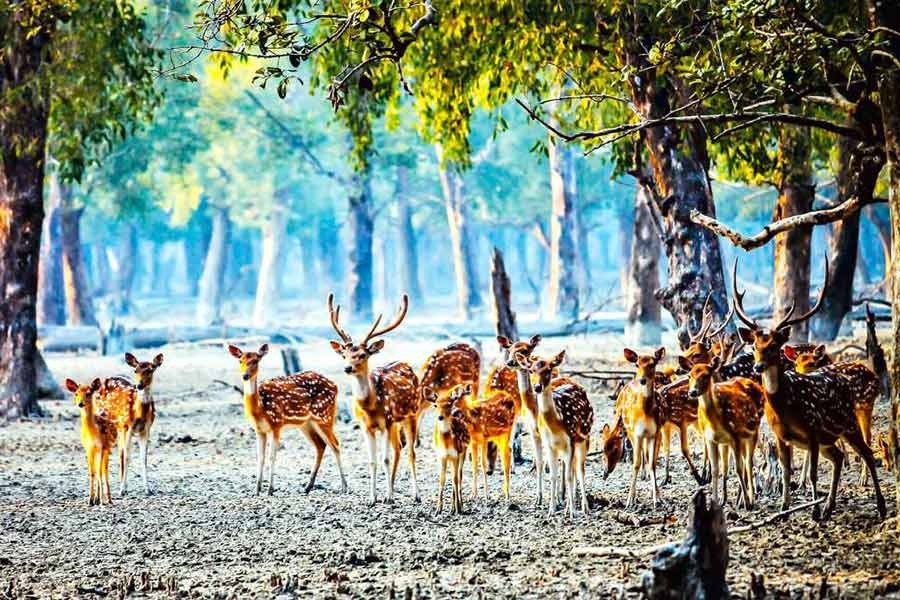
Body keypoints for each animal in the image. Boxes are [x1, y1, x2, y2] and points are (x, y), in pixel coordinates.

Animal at [227, 344, 346, 494]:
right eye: (240, 361)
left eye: (256, 360)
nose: (245, 376)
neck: (260, 409)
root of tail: (336, 386)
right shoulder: (259, 430)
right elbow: (260, 458)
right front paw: (257, 490)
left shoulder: (277, 424)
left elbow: (272, 456)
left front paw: (270, 490)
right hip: (306, 424)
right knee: (320, 445)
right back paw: (308, 487)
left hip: (324, 415)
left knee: (335, 445)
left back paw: (344, 487)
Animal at [326, 292, 422, 504]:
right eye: (344, 355)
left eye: (363, 354)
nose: (347, 368)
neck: (370, 406)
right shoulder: (365, 426)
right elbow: (372, 460)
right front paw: (373, 498)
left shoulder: (386, 421)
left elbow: (384, 459)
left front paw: (387, 497)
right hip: (396, 422)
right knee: (398, 448)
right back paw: (392, 489)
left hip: (411, 414)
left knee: (410, 451)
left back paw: (415, 494)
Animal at [684, 358, 764, 508]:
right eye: (689, 375)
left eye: (706, 375)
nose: (692, 392)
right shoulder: (710, 439)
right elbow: (716, 470)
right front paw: (715, 501)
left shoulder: (735, 435)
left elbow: (738, 469)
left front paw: (747, 501)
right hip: (738, 439)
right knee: (742, 463)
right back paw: (738, 500)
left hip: (753, 430)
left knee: (748, 463)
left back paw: (749, 500)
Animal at [736, 258, 888, 520]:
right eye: (754, 345)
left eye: (774, 345)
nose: (758, 366)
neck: (786, 407)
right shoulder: (782, 436)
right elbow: (787, 471)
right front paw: (784, 510)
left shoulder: (813, 430)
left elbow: (814, 473)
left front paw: (813, 510)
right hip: (831, 436)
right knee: (838, 457)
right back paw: (829, 507)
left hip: (848, 422)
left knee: (867, 452)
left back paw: (880, 506)